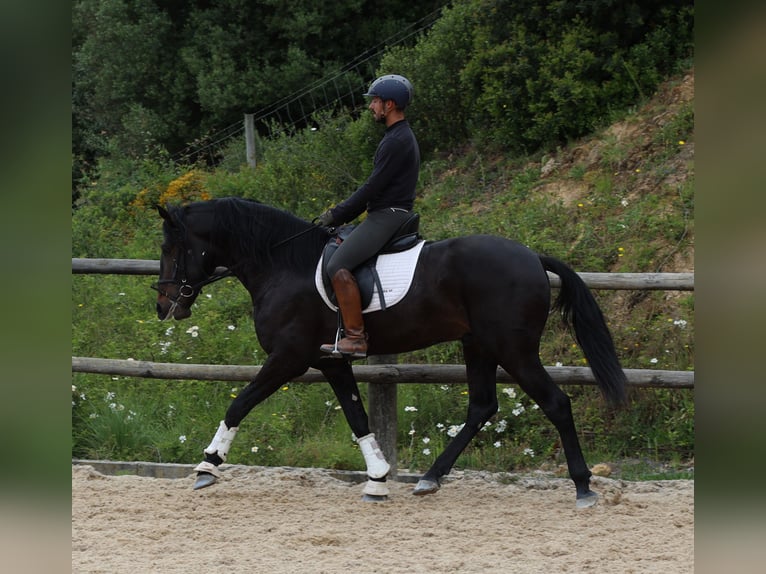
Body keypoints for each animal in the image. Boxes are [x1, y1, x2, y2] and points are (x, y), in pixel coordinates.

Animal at [153, 197, 628, 508]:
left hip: (514, 349)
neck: (282, 265)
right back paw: (430, 479)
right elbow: (358, 418)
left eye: (171, 248)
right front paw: (378, 481)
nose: (163, 306)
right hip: (478, 345)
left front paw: (207, 466)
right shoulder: (330, 360)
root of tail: (531, 256)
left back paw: (584, 487)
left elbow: (240, 403)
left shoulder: (289, 357)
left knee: (556, 403)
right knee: (481, 407)